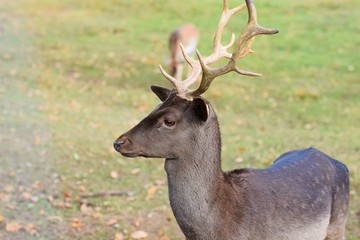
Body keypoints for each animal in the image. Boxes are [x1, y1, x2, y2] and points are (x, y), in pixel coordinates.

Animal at [114, 0, 350, 239]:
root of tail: (339, 164)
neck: (220, 228)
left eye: (169, 120)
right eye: (155, 107)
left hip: (337, 224)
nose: (119, 142)